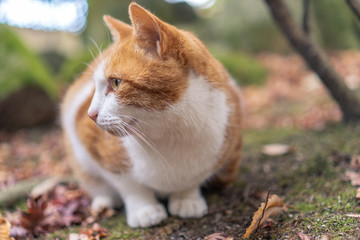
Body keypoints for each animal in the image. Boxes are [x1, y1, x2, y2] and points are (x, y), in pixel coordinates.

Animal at [61, 2, 242, 229]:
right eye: (95, 87)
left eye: (115, 83)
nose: (90, 114)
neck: (173, 133)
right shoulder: (91, 142)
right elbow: (129, 184)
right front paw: (144, 209)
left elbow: (193, 179)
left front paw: (186, 198)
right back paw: (104, 201)